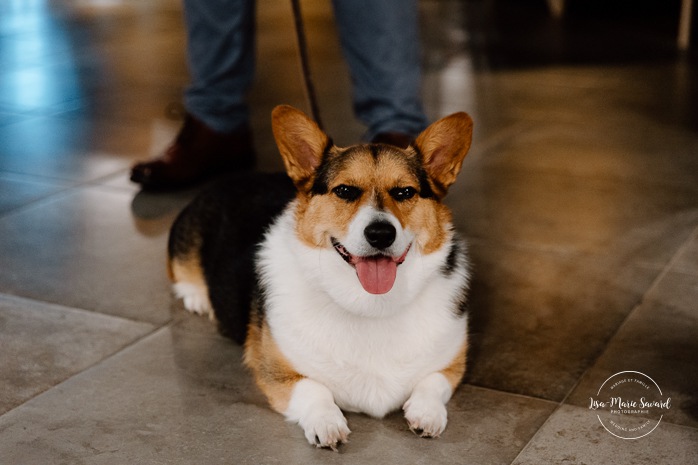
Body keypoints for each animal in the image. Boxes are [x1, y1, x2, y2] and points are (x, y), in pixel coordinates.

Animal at [169, 106, 474, 450]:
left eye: (405, 192)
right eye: (344, 191)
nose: (381, 233)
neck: (369, 305)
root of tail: (229, 180)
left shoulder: (451, 366)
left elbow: (432, 382)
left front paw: (427, 414)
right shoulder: (277, 372)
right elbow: (315, 389)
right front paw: (327, 424)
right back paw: (197, 297)